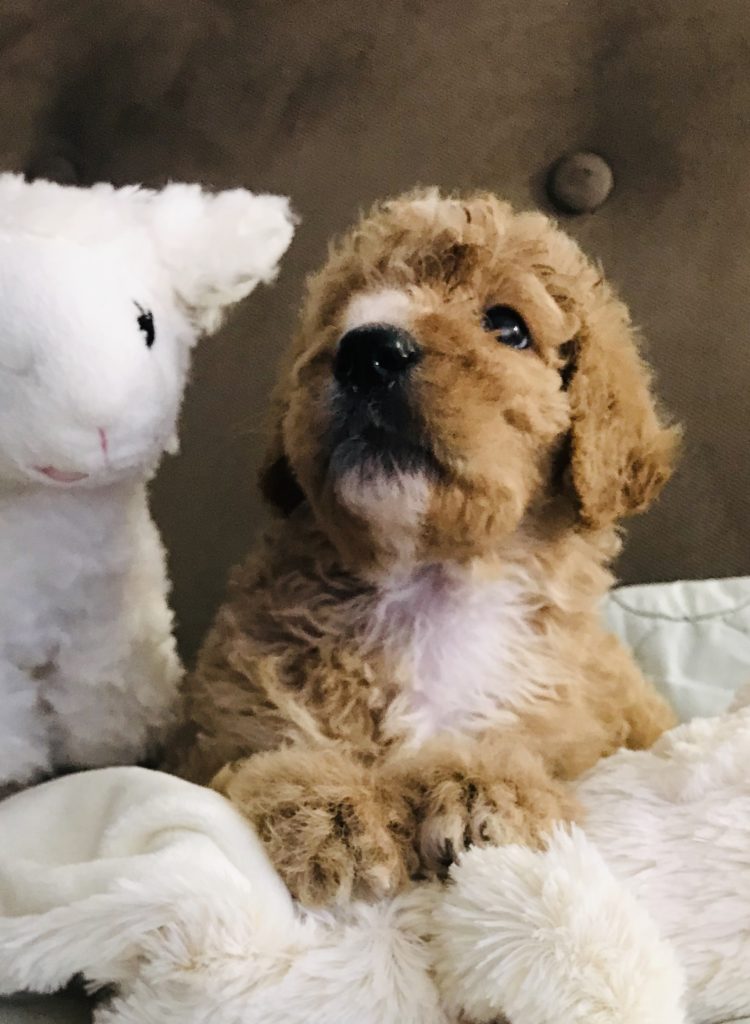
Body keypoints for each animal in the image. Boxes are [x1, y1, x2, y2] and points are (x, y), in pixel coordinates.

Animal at [171, 190, 680, 905]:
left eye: (508, 326)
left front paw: (482, 787)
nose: (368, 351)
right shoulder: (212, 733)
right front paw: (328, 808)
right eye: (341, 316)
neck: (427, 577)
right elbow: (253, 759)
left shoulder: (574, 726)